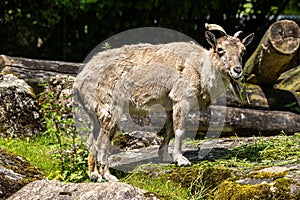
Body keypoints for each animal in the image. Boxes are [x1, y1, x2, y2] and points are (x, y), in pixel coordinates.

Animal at [72, 23, 253, 181]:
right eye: (220, 50)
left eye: (243, 51)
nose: (237, 71)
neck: (200, 68)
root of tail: (79, 82)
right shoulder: (181, 98)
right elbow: (180, 130)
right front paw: (181, 159)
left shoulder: (170, 106)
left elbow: (169, 131)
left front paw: (165, 156)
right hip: (109, 109)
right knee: (102, 142)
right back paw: (109, 176)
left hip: (97, 114)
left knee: (92, 141)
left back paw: (94, 175)